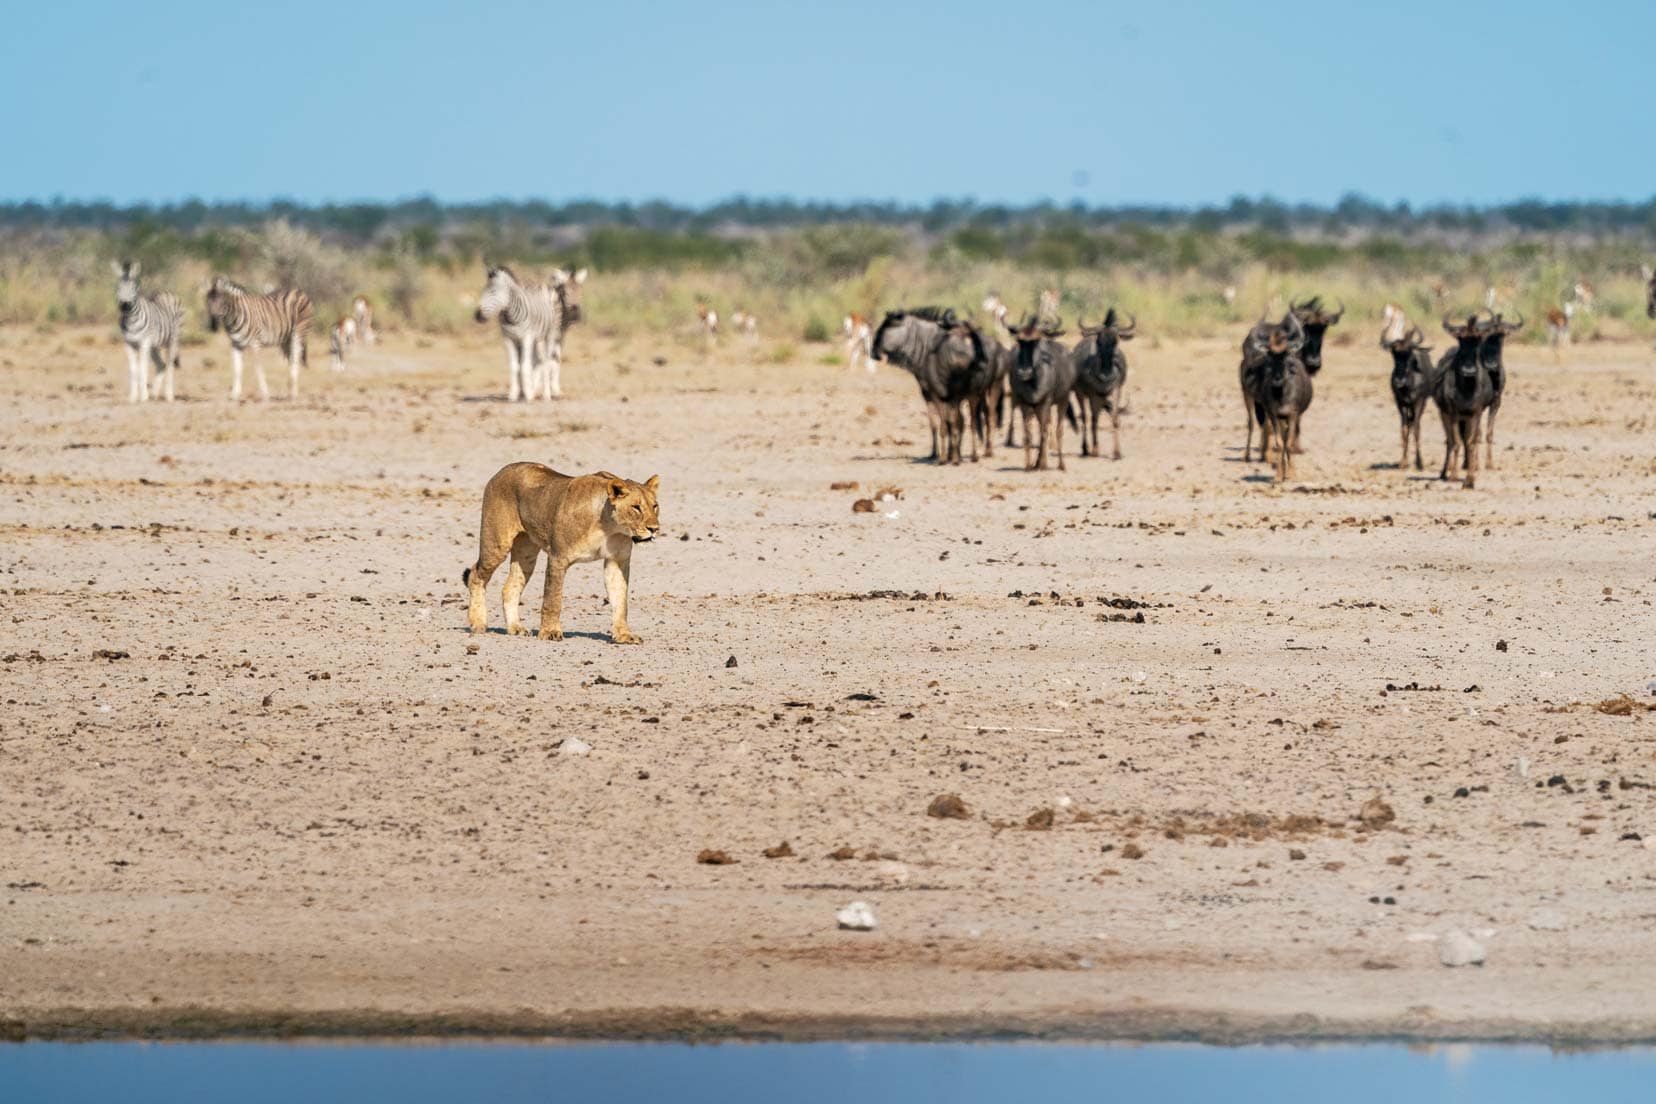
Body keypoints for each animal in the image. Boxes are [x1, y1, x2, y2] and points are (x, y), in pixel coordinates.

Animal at [111, 261, 182, 403]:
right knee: (161, 365)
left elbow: (142, 368)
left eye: (134, 288)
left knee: (170, 365)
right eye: (118, 287)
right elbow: (133, 370)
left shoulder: (144, 343)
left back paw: (169, 395)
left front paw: (143, 397)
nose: (125, 306)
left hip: (173, 340)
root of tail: (165, 292)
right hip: (154, 346)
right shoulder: (129, 344)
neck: (131, 321)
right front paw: (133, 397)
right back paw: (154, 393)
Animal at [1066, 309, 1132, 460]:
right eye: (1099, 341)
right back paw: (1085, 449)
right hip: (1079, 394)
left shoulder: (1115, 391)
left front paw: (1117, 453)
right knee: (1085, 417)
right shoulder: (1092, 395)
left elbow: (1115, 419)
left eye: (1116, 341)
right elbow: (1094, 419)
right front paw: (1095, 450)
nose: (1106, 375)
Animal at [1384, 324, 1437, 470]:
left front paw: (1420, 462)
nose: (1399, 381)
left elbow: (1417, 428)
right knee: (1410, 423)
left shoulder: (1419, 402)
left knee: (1414, 423)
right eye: (1394, 353)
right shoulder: (1400, 403)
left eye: (1409, 353)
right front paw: (1403, 462)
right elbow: (1404, 428)